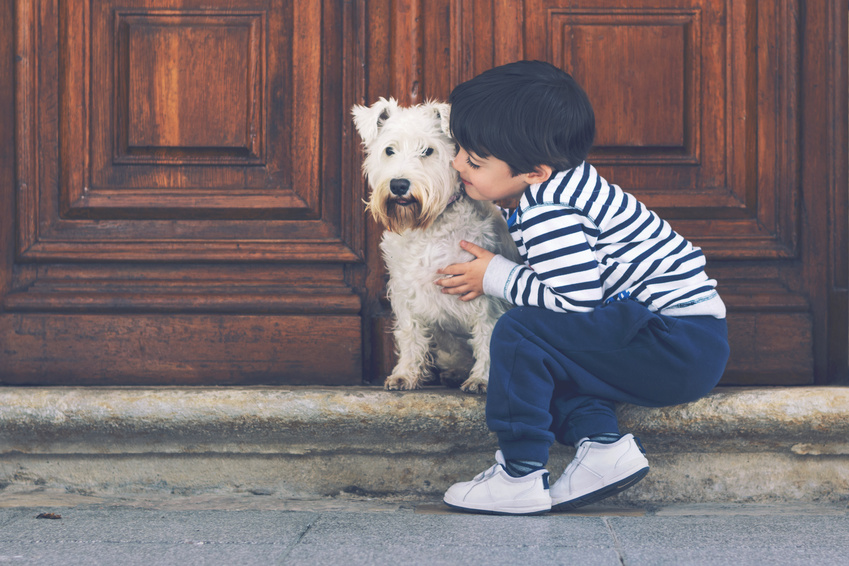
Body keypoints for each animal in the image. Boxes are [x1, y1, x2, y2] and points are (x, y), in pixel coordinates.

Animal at [350, 97, 516, 392]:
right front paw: (404, 374)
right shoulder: (406, 290)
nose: (399, 185)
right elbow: (410, 334)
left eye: (428, 150)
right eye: (389, 150)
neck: (427, 227)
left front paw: (482, 379)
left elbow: (487, 335)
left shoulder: (484, 295)